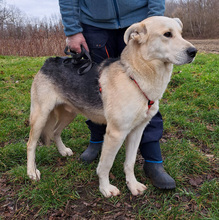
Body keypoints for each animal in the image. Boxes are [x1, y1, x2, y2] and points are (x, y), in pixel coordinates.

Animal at [27, 16, 197, 197]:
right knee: (31, 144)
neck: (135, 77)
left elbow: (129, 162)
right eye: (167, 34)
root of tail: (49, 61)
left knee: (55, 132)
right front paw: (105, 188)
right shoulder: (116, 133)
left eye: (181, 34)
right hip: (40, 116)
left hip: (69, 113)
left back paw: (63, 151)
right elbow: (105, 165)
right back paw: (31, 172)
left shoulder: (137, 130)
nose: (194, 51)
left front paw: (132, 185)